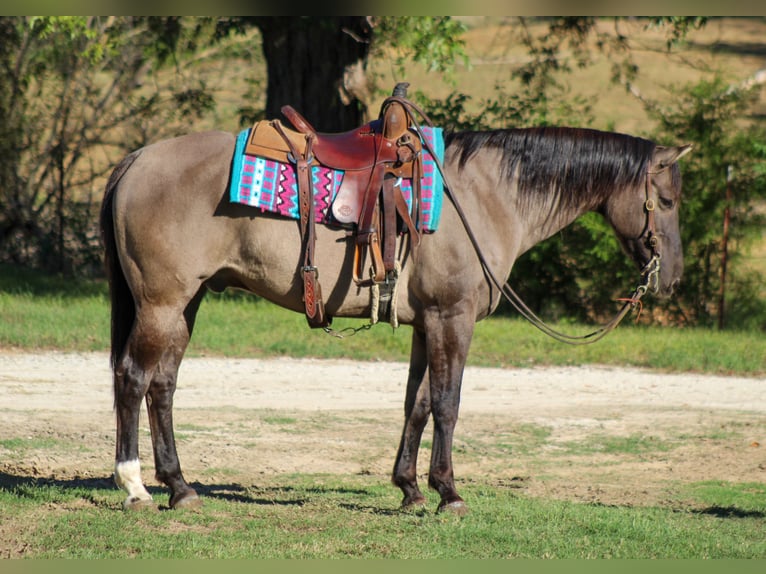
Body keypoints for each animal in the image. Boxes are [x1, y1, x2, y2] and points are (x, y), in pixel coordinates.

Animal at [100, 123, 691, 514]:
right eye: (664, 200)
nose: (672, 277)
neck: (483, 196)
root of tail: (135, 160)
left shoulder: (428, 323)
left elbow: (418, 404)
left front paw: (409, 488)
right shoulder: (453, 318)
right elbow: (449, 405)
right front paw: (448, 493)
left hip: (186, 304)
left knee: (162, 386)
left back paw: (180, 488)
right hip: (162, 303)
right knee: (133, 378)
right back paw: (135, 486)